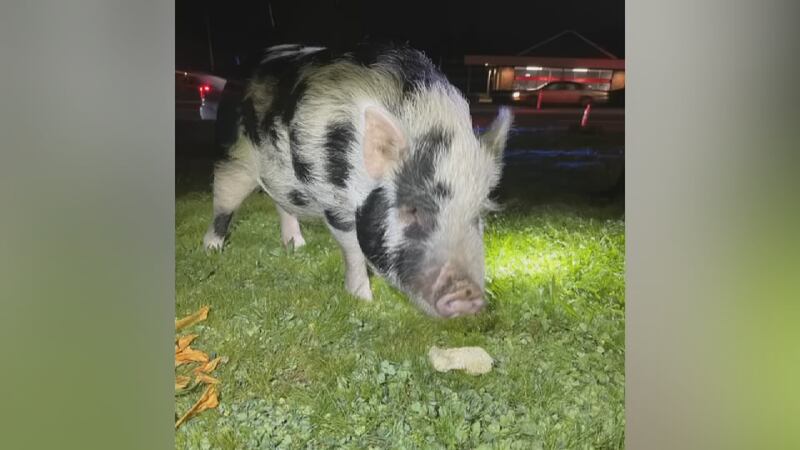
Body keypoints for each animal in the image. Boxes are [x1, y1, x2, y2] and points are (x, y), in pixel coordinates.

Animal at [203, 43, 512, 318]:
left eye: (478, 216)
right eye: (412, 209)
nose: (468, 294)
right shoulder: (335, 202)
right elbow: (352, 248)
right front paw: (364, 301)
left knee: (282, 204)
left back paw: (297, 246)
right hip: (233, 158)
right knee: (223, 203)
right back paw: (212, 250)